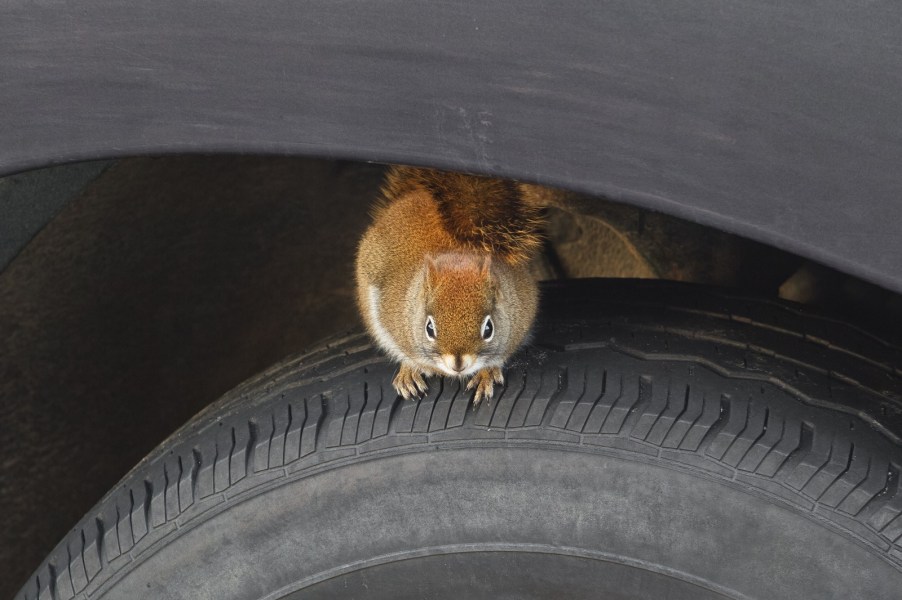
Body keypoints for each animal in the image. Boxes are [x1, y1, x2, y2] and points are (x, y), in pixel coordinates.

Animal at [356, 165, 544, 404]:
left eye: (489, 328)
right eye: (429, 328)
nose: (458, 364)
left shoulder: (521, 318)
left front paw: (487, 373)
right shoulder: (391, 316)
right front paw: (409, 369)